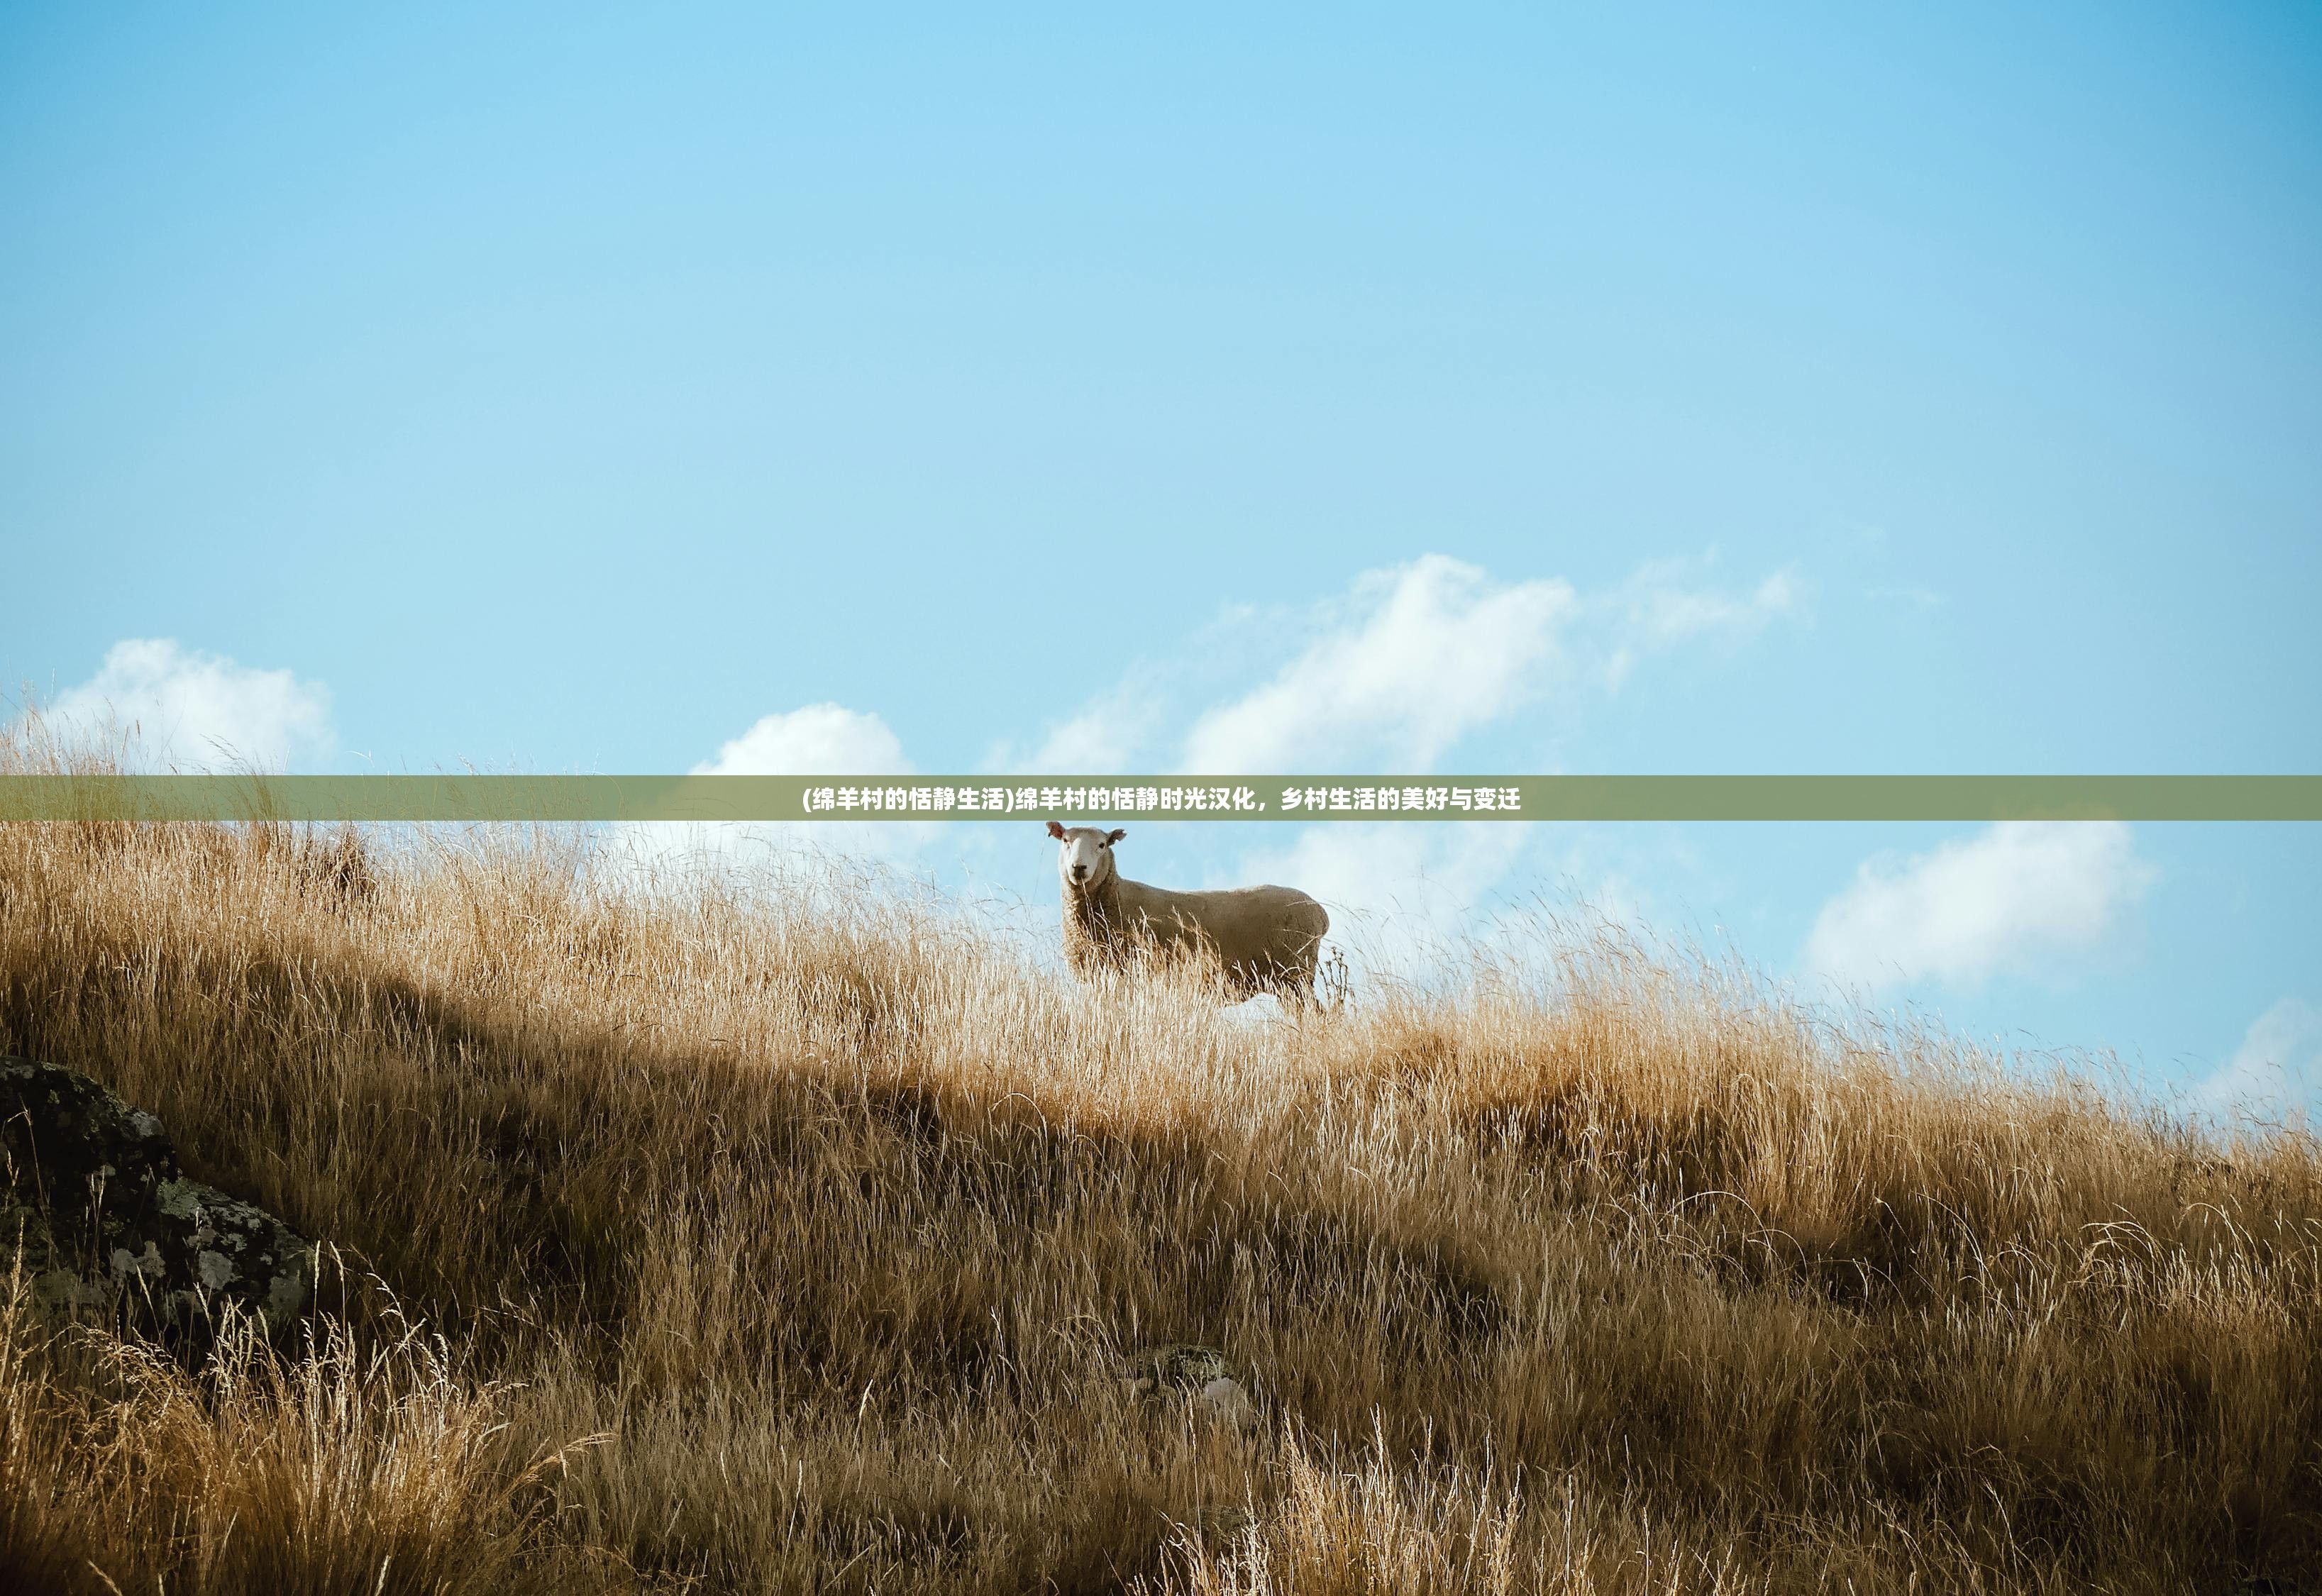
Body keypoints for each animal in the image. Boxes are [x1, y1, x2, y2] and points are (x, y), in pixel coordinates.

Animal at [1049, 817, 1337, 1003]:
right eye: (1065, 840)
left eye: (1102, 845)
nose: (1079, 868)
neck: (1115, 897)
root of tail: (1320, 913)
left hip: (1296, 973)